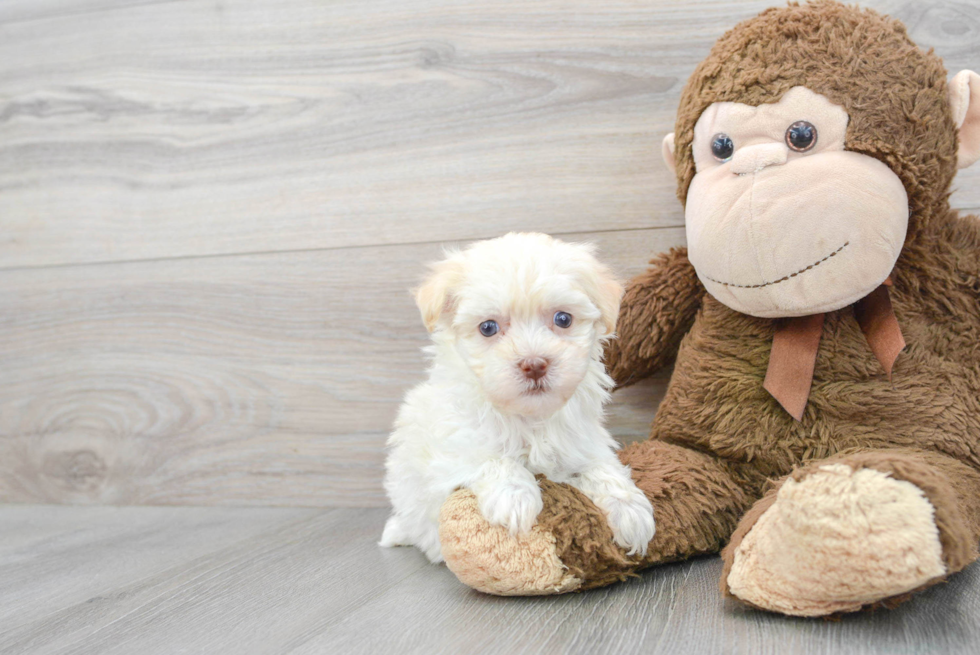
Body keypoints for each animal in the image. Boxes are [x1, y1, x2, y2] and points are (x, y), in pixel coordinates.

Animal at [378, 234, 656, 564]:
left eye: (563, 319)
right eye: (488, 327)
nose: (534, 364)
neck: (530, 418)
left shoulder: (584, 441)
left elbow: (602, 467)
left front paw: (630, 510)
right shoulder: (455, 447)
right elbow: (492, 458)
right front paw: (515, 497)